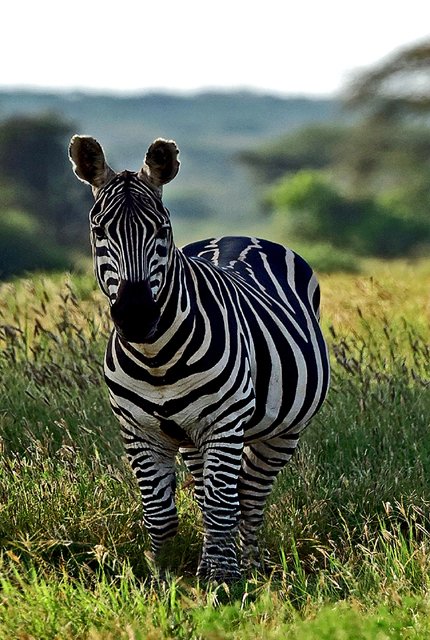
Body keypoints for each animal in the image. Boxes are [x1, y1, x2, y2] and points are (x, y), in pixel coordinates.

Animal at [68, 135, 330, 582]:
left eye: (162, 230)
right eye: (99, 229)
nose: (137, 316)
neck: (156, 358)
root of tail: (237, 234)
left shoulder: (224, 423)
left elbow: (224, 506)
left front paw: (221, 581)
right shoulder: (138, 431)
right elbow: (161, 514)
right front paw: (162, 575)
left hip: (282, 431)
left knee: (249, 496)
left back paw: (251, 566)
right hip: (191, 438)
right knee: (215, 495)